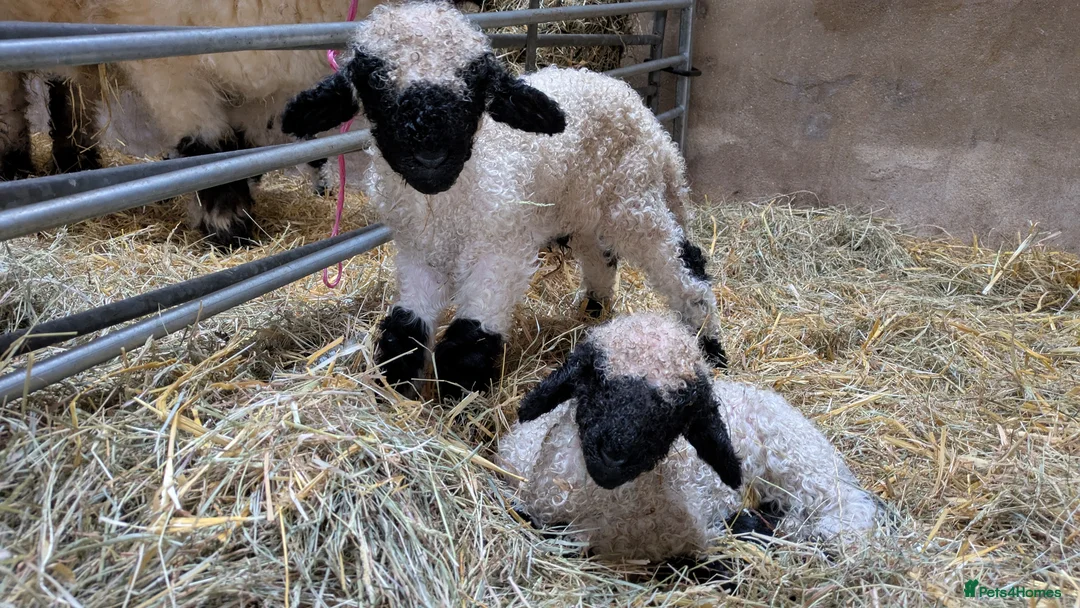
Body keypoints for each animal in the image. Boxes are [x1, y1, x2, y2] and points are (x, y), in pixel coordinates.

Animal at [280, 1, 727, 400]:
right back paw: (594, 311)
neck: (446, 207)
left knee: (684, 266)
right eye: (373, 81)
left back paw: (710, 348)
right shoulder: (417, 254)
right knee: (600, 256)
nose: (430, 153)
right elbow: (404, 330)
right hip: (583, 205)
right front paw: (398, 391)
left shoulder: (501, 250)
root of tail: (635, 105)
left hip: (633, 199)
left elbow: (467, 340)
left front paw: (458, 405)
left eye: (477, 82)